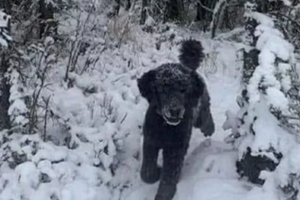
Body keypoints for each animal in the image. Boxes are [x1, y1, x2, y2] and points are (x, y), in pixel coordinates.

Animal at [137, 39, 214, 200]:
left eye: (183, 90)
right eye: (162, 89)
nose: (174, 111)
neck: (165, 127)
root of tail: (189, 68)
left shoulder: (175, 150)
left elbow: (169, 176)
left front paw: (164, 194)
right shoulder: (150, 141)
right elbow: (146, 173)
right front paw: (156, 173)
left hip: (201, 110)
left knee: (205, 118)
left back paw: (210, 128)